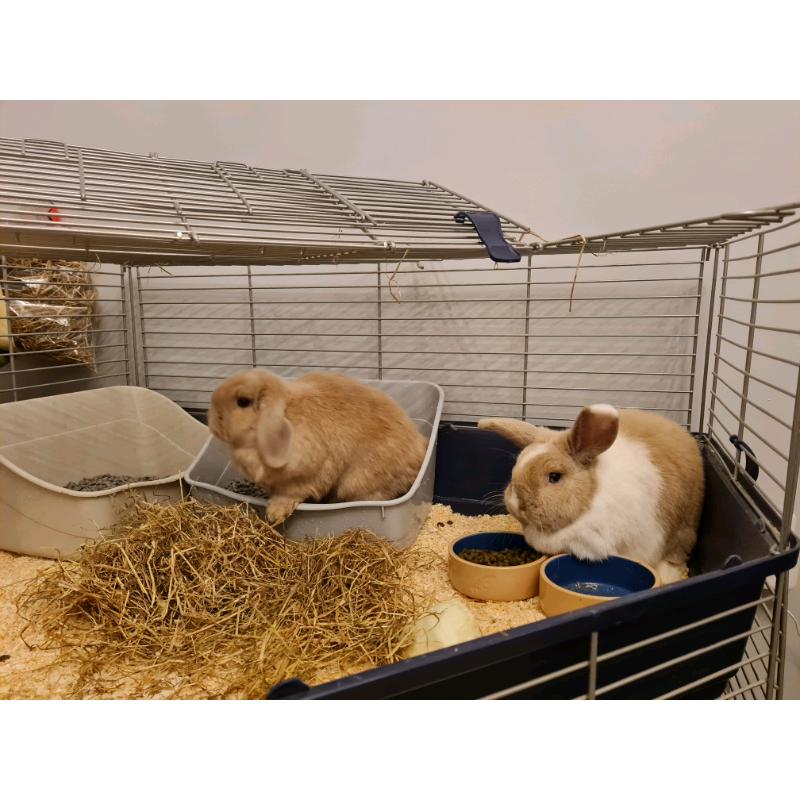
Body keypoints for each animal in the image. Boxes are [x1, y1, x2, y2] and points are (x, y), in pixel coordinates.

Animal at [208, 369, 428, 525]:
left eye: (243, 401)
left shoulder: (306, 477)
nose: (212, 421)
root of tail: (420, 451)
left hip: (357, 483)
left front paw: (274, 515)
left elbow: (289, 494)